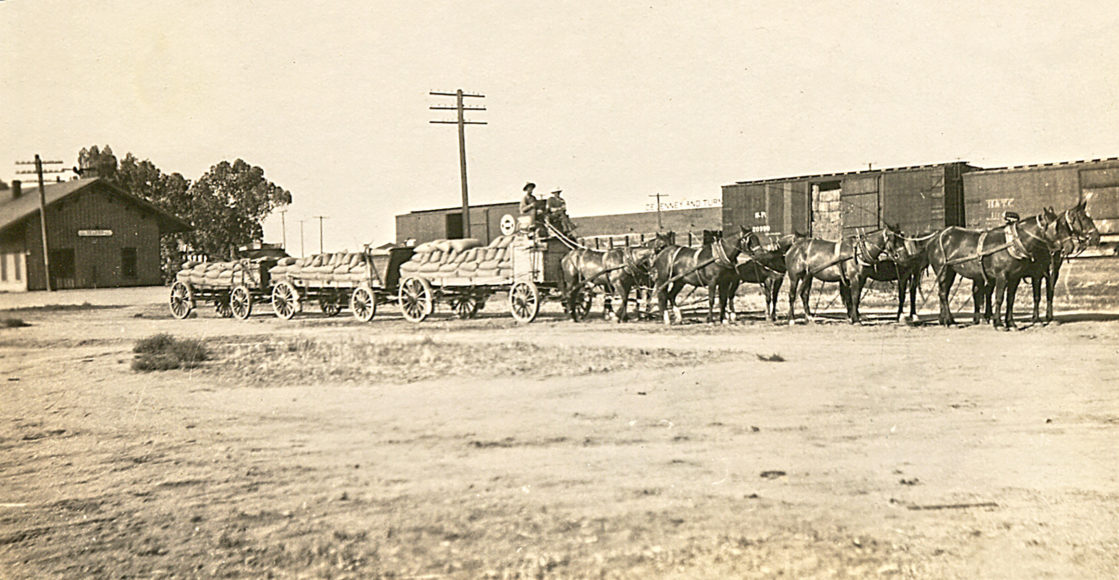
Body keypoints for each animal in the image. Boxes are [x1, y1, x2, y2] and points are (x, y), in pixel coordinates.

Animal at [926, 203, 1092, 331]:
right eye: (1057, 227)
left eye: (1067, 226)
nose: (1070, 246)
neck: (1014, 244)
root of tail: (937, 236)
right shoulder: (1003, 276)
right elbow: (999, 298)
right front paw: (999, 323)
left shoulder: (1015, 278)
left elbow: (1011, 299)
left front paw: (1011, 323)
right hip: (943, 271)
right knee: (943, 294)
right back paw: (951, 321)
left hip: (951, 272)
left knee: (945, 293)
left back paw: (947, 320)